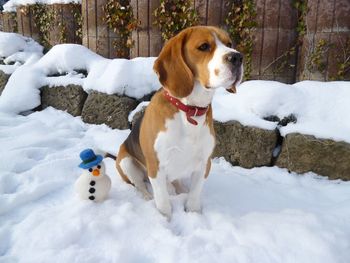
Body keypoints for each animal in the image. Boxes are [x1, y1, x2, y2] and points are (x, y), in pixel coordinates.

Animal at [116, 26, 242, 219]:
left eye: (229, 43)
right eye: (204, 46)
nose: (237, 57)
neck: (190, 110)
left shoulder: (204, 163)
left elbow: (194, 196)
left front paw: (193, 214)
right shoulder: (156, 166)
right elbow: (163, 203)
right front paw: (165, 220)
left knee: (173, 182)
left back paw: (179, 189)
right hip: (126, 162)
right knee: (139, 184)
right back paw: (146, 196)